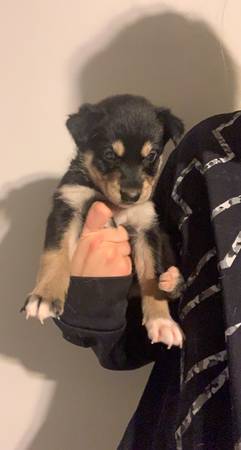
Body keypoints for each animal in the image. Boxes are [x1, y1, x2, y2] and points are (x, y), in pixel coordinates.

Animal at [22, 94, 185, 348]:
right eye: (109, 154)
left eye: (151, 155)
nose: (132, 195)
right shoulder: (68, 205)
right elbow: (55, 256)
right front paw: (45, 297)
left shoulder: (146, 228)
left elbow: (151, 276)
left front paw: (162, 322)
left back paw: (173, 280)